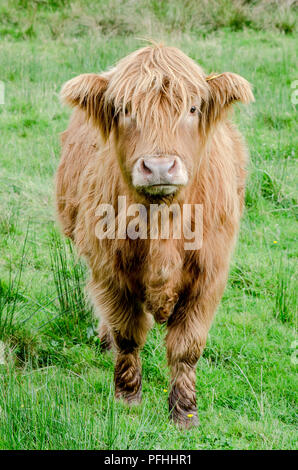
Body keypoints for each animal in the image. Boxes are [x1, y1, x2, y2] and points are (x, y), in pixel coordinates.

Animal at [56, 43, 254, 426]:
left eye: (192, 108)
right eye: (125, 110)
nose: (160, 167)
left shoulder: (209, 277)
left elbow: (187, 347)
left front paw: (185, 413)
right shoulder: (110, 272)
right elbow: (127, 334)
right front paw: (127, 399)